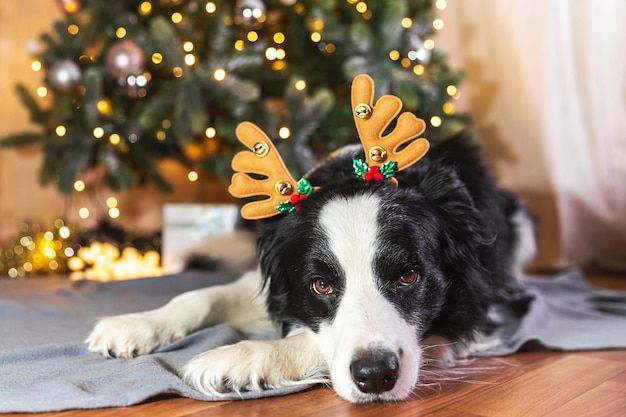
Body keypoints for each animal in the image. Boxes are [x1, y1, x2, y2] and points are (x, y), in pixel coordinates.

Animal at [89, 75, 536, 404]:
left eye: (409, 276)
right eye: (321, 285)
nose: (376, 376)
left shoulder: (473, 310)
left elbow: (310, 339)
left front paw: (234, 359)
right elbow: (201, 296)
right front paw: (134, 325)